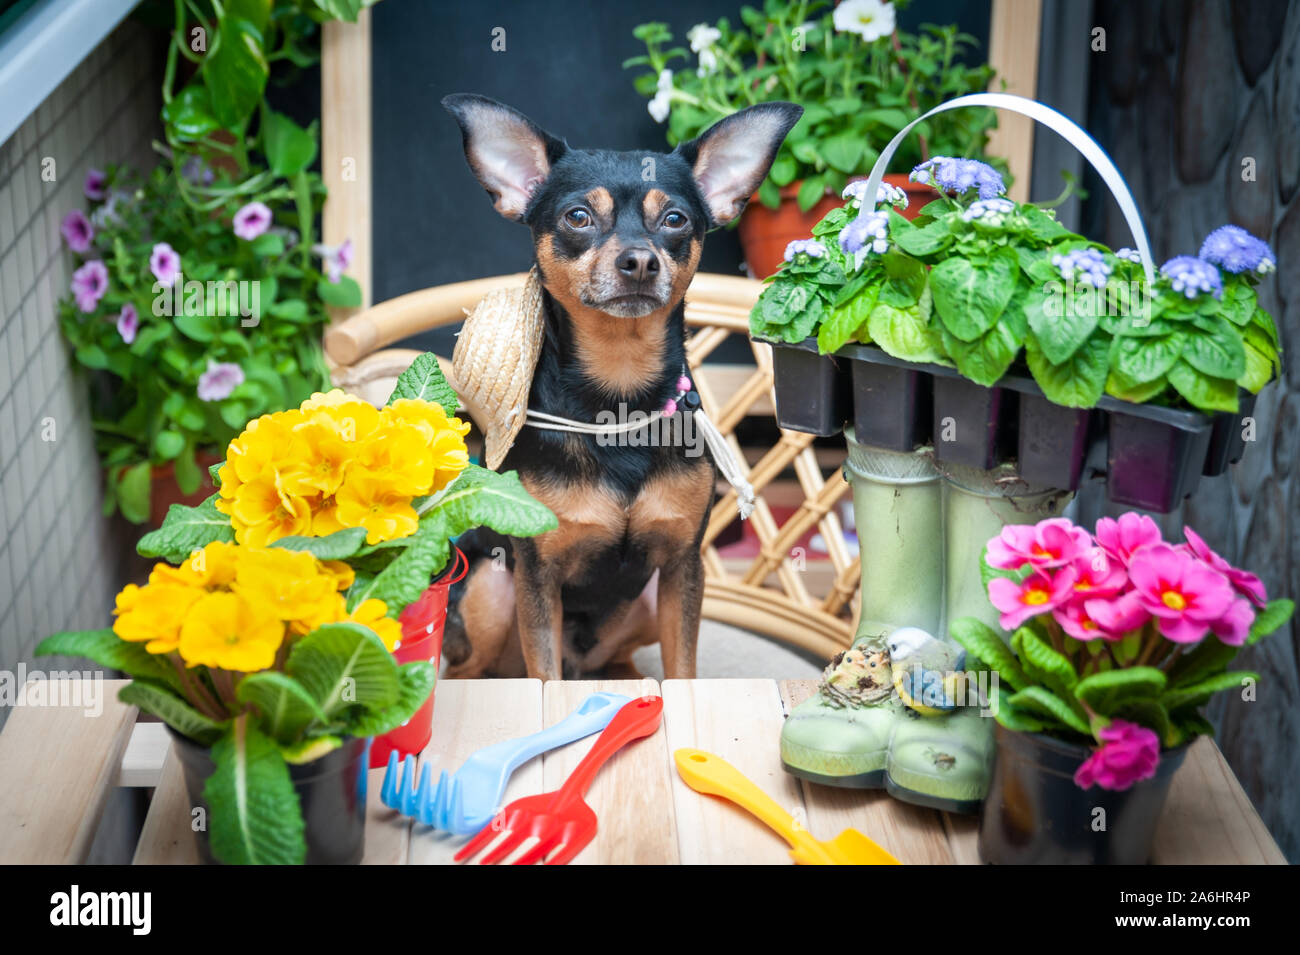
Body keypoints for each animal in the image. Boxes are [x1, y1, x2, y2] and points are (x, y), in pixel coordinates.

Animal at [441, 95, 795, 680]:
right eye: (577, 217)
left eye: (675, 219)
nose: (640, 260)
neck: (620, 393)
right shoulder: (537, 575)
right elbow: (545, 677)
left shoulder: (681, 567)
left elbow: (683, 670)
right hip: (492, 588)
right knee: (472, 670)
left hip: (644, 603)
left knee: (616, 658)